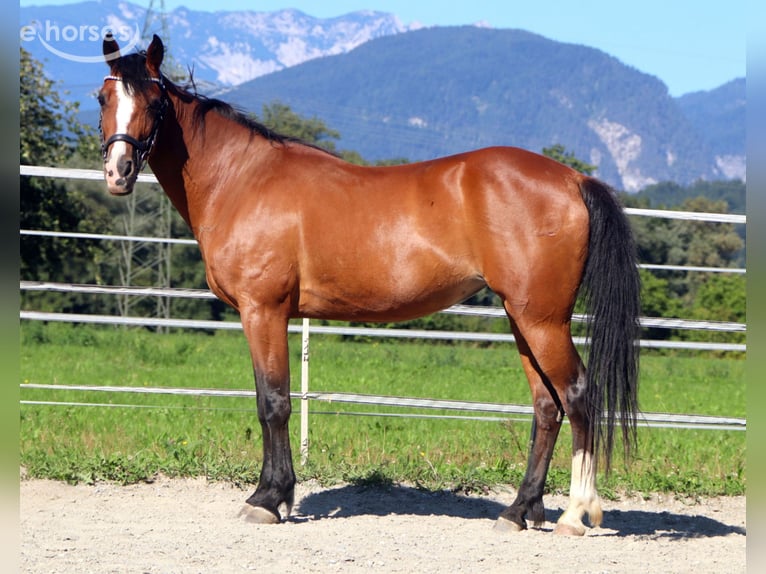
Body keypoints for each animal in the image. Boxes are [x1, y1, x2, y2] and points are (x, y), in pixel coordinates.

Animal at [99, 33, 640, 536]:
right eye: (103, 97)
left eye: (154, 103)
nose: (118, 172)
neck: (242, 179)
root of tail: (573, 179)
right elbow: (267, 399)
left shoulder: (263, 310)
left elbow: (273, 403)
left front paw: (268, 500)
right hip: (522, 319)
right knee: (547, 407)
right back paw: (519, 511)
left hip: (543, 320)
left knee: (578, 395)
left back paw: (576, 513)